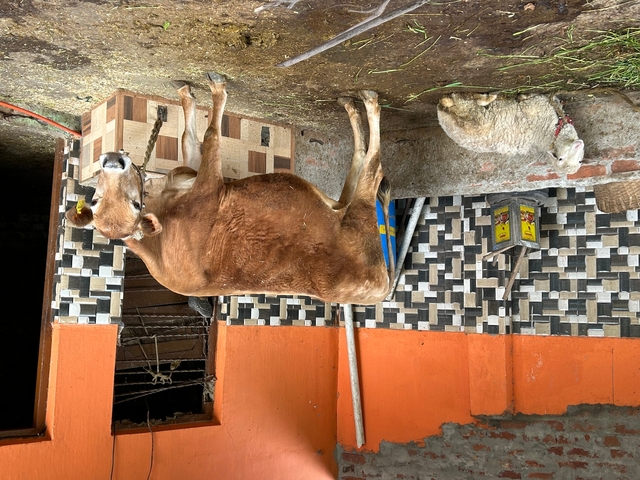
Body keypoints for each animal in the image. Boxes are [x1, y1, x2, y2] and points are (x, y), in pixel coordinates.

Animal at [66, 73, 393, 305]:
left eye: (94, 200)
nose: (113, 161)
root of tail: (383, 286)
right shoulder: (209, 187)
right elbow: (211, 134)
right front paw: (218, 91)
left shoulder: (195, 173)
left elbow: (192, 136)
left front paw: (187, 93)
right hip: (358, 214)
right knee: (373, 166)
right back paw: (367, 104)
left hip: (346, 207)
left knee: (362, 162)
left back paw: (352, 105)